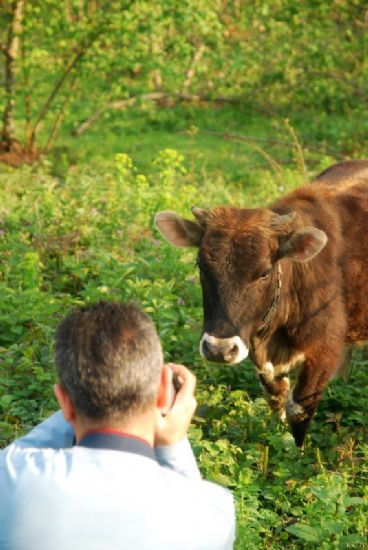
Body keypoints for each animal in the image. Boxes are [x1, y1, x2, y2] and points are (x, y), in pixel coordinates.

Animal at [155, 160, 368, 448]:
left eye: (264, 272)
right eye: (201, 267)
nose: (219, 349)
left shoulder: (325, 349)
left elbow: (299, 408)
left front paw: (297, 452)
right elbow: (276, 397)